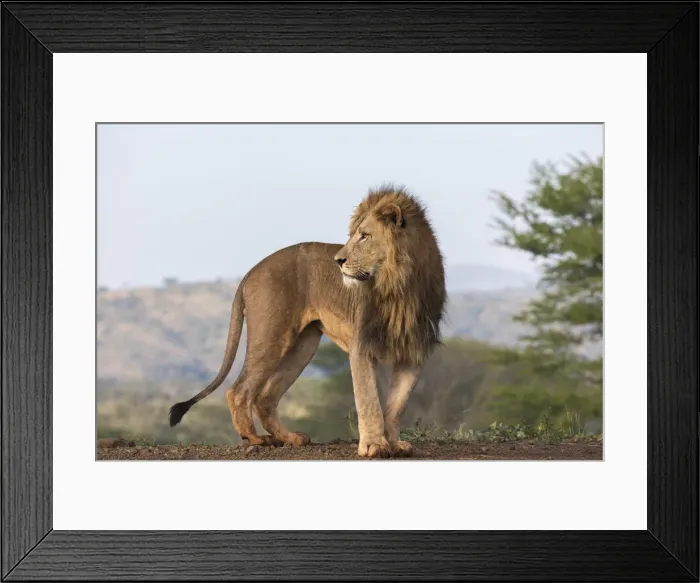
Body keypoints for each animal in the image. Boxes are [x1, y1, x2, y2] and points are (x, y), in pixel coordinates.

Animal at [169, 185, 446, 458]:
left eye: (364, 236)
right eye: (353, 235)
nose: (338, 261)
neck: (400, 285)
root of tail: (251, 271)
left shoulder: (414, 351)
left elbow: (397, 404)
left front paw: (394, 444)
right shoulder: (361, 345)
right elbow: (368, 400)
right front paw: (373, 446)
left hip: (303, 345)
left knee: (265, 396)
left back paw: (289, 437)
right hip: (272, 335)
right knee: (239, 391)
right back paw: (256, 439)